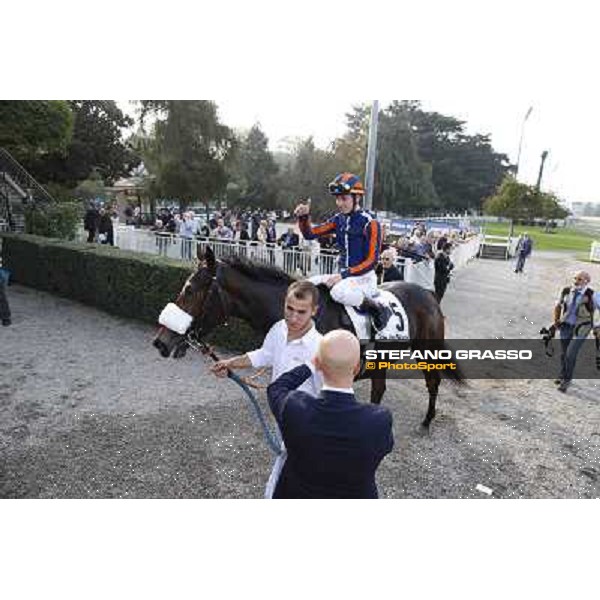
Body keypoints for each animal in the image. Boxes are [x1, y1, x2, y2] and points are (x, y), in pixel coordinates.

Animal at [155, 246, 464, 428]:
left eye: (190, 289)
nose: (161, 341)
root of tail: (429, 293)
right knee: (379, 390)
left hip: (428, 350)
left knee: (433, 382)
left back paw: (427, 420)